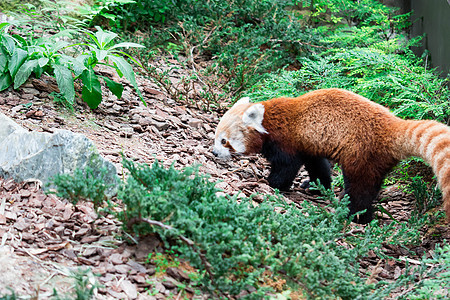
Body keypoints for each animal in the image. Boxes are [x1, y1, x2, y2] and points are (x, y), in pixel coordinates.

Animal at [214, 88, 450, 224]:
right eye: (215, 137)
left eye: (224, 140)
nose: (215, 153)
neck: (268, 120)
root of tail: (392, 125)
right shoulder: (309, 144)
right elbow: (318, 166)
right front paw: (316, 187)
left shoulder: (285, 141)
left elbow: (287, 166)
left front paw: (273, 183)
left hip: (362, 153)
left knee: (360, 187)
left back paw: (355, 214)